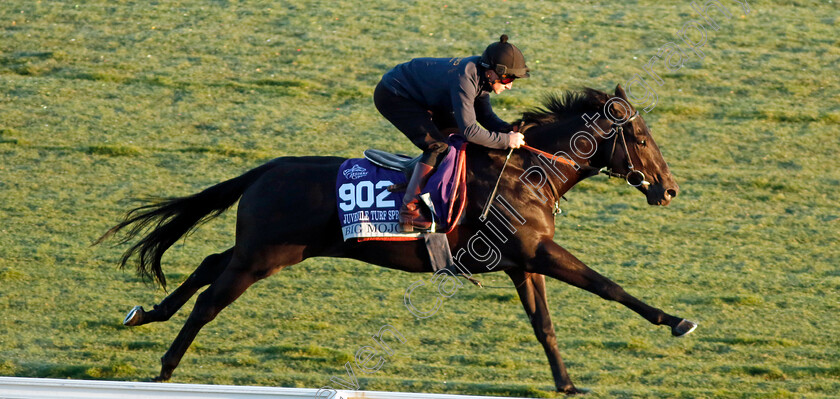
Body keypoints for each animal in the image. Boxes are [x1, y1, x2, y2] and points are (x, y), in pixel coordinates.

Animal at [100, 85, 696, 396]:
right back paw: (165, 367)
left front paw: (567, 384)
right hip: (262, 256)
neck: (525, 172)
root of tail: (267, 169)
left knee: (206, 262)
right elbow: (607, 286)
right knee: (208, 300)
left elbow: (544, 326)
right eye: (640, 136)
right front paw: (676, 321)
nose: (668, 189)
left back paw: (145, 314)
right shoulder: (537, 252)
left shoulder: (523, 262)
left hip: (268, 249)